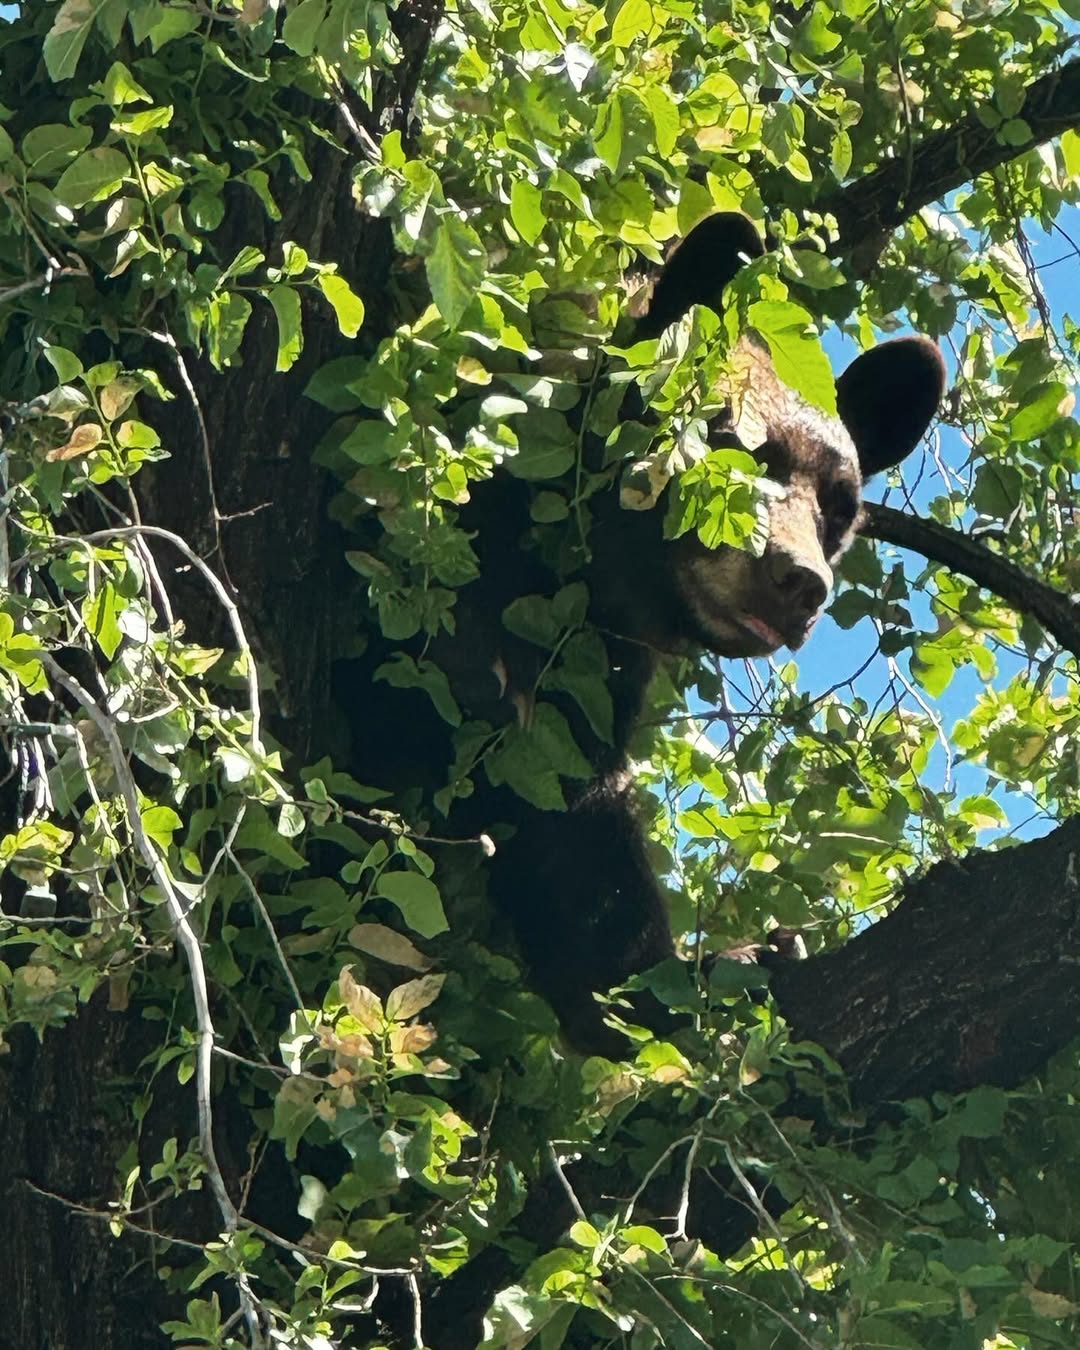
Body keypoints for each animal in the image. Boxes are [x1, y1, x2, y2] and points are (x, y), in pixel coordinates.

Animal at [345, 213, 946, 1056]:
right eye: (739, 444)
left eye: (839, 507)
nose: (799, 582)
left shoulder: (596, 668)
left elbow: (573, 824)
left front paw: (715, 967)